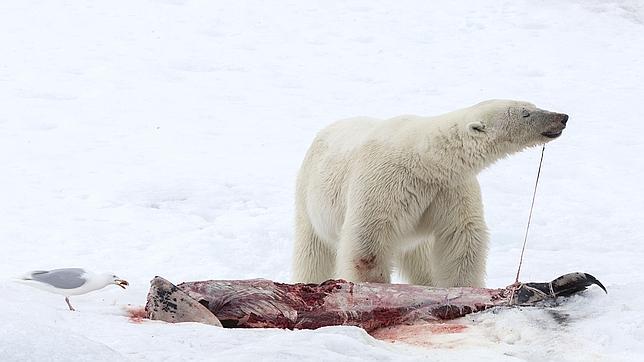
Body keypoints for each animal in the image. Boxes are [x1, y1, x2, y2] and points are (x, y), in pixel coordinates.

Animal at [294, 99, 568, 286]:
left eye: (532, 104)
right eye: (526, 113)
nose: (562, 116)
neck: (424, 160)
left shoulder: (448, 188)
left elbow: (461, 237)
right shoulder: (384, 183)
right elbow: (368, 243)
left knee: (421, 260)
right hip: (309, 194)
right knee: (312, 252)